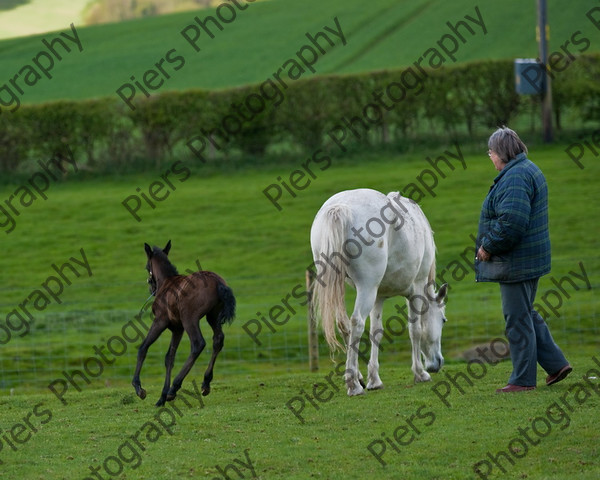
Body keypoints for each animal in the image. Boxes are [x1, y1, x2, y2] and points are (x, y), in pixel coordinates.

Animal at [312, 189, 448, 396]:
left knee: (344, 325)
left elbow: (376, 332)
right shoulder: (417, 288)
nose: (438, 363)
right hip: (367, 287)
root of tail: (340, 208)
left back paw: (358, 377)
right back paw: (353, 385)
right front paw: (420, 373)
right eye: (443, 320)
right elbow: (415, 330)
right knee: (357, 323)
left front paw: (374, 379)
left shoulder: (379, 296)